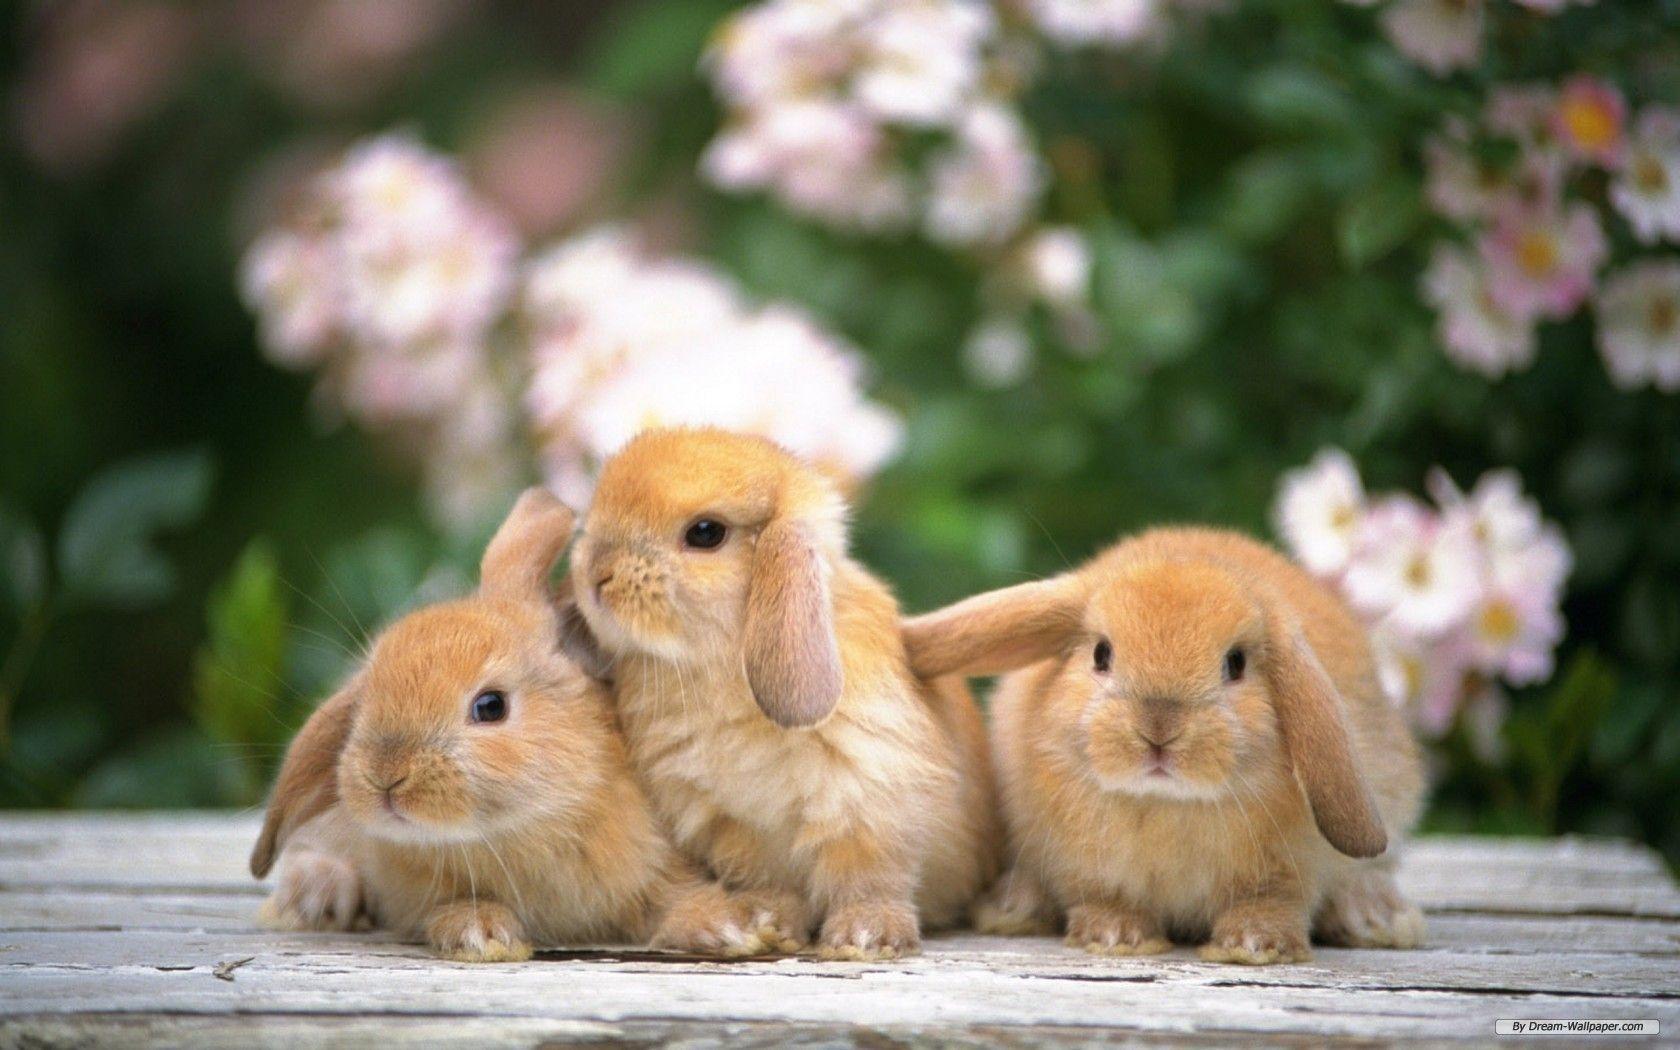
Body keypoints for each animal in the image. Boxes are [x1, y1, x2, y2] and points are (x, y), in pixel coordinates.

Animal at [250, 488, 769, 963]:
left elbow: (673, 900)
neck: (525, 829)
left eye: (490, 706)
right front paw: (481, 933)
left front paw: (732, 927)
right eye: (364, 701)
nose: (386, 776)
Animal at [558, 427, 1000, 960]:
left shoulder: (870, 805)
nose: (595, 575)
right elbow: (769, 883)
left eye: (705, 533)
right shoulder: (732, 826)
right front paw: (767, 924)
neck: (724, 669)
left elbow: (870, 878)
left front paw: (865, 937)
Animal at [902, 526, 1426, 965]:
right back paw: (1014, 908)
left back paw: (1378, 918)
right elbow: (1103, 897)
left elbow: (1272, 903)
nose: (1158, 730)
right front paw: (1114, 936)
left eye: (1235, 664)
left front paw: (1255, 945)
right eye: (1101, 654)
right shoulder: (1086, 868)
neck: (1165, 804)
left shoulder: (1289, 872)